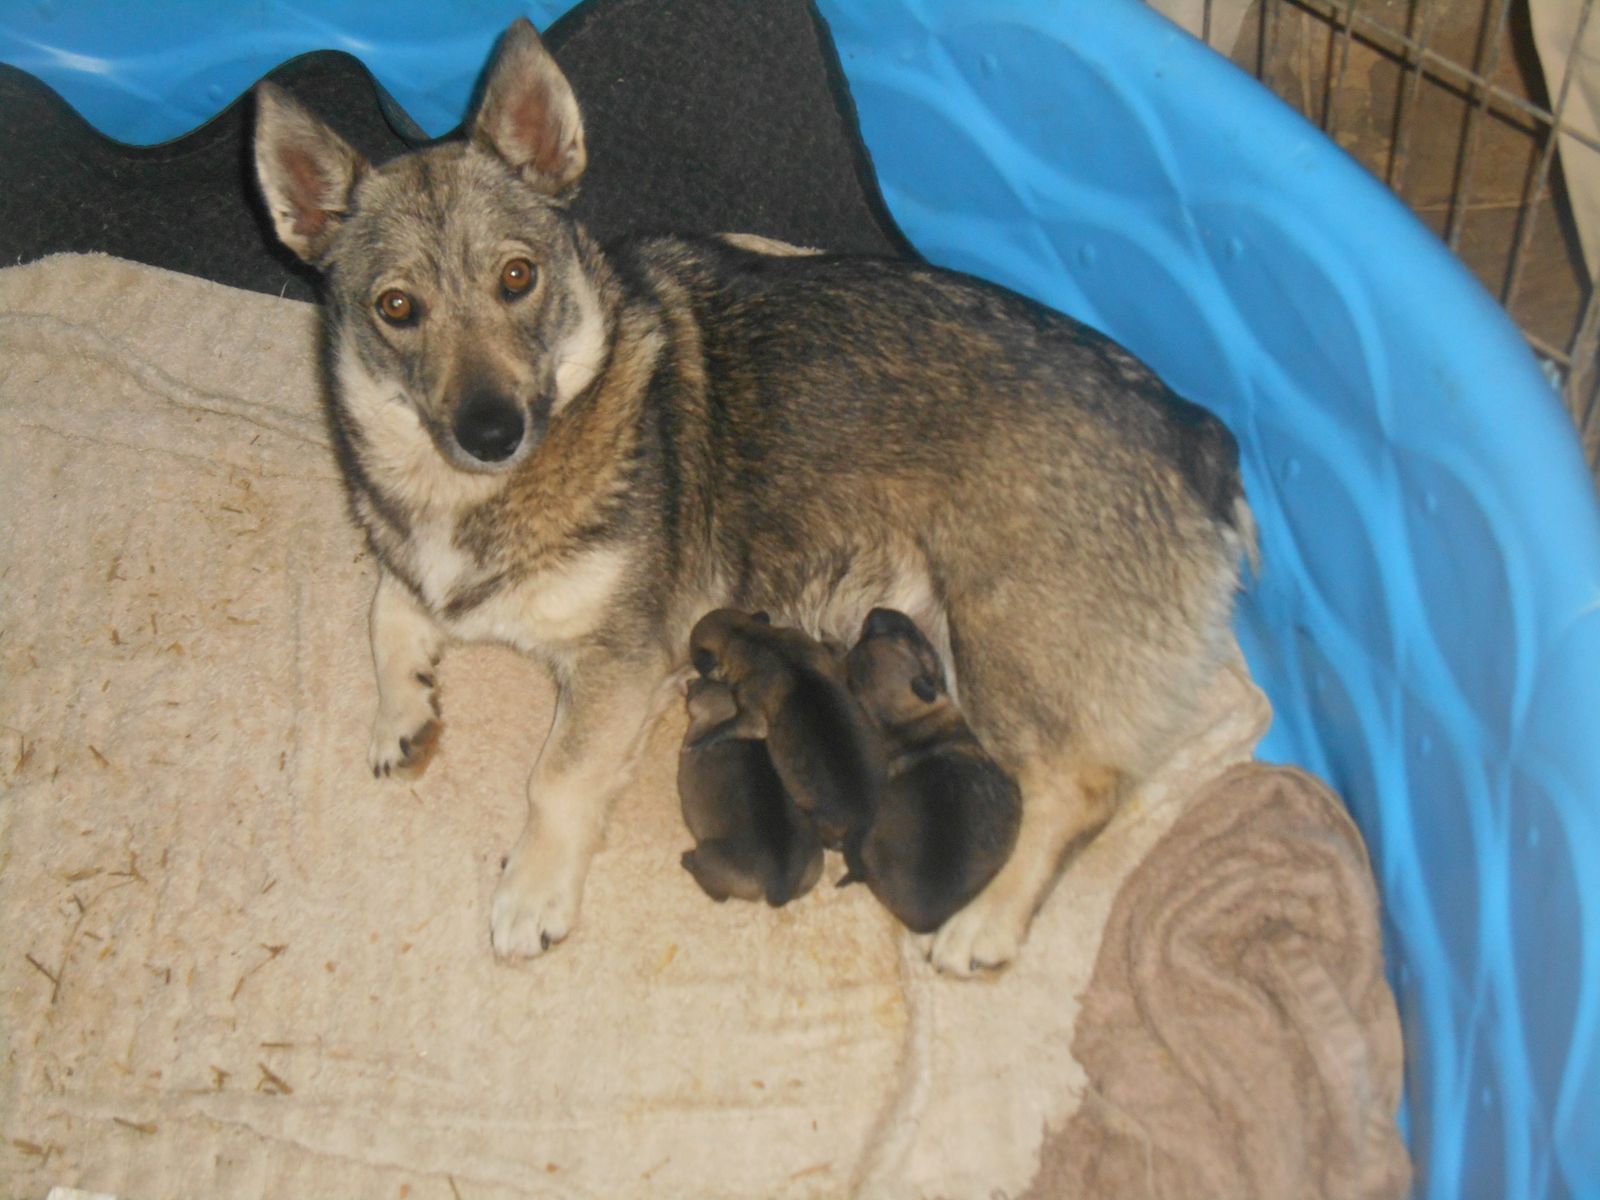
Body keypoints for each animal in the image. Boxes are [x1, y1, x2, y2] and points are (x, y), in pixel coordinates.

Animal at [677, 675, 824, 906]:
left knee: (718, 895)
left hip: (708, 853)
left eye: (696, 686)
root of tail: (779, 884)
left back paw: (689, 861)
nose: (690, 679)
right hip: (816, 860)